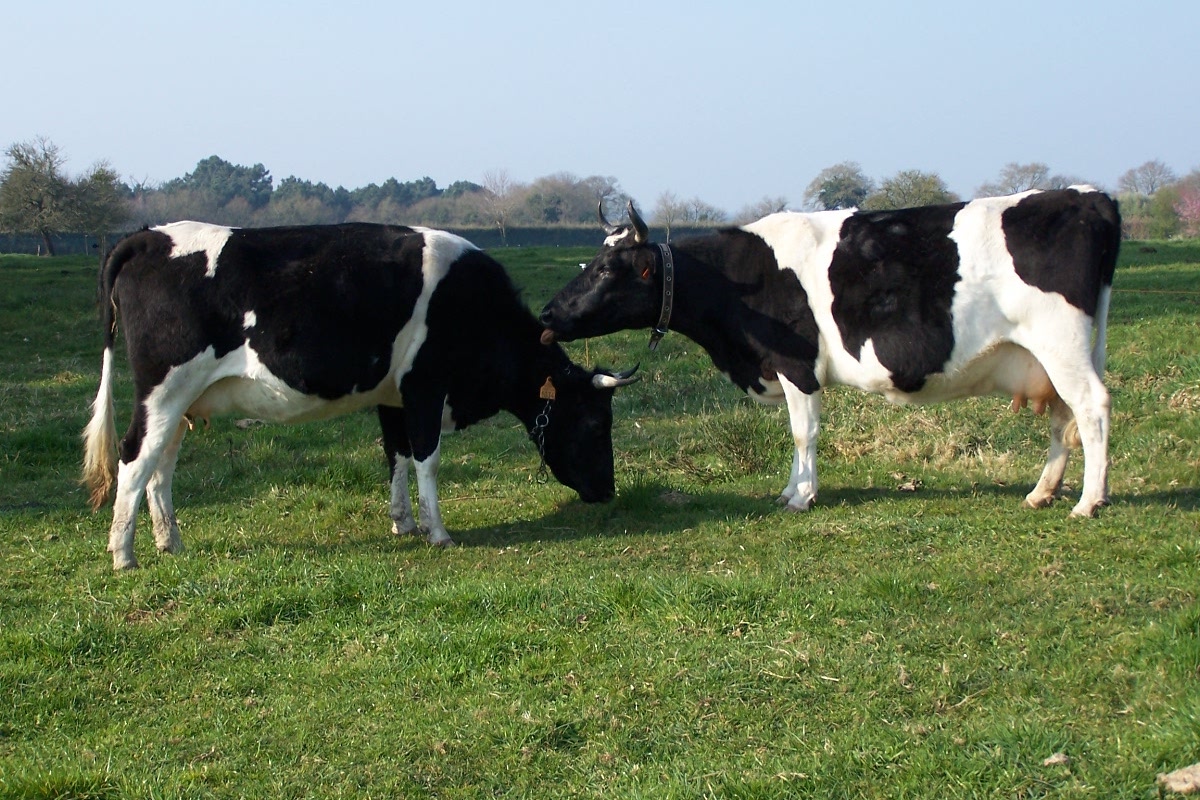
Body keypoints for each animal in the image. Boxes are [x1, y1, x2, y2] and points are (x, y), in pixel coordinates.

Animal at [82, 221, 638, 570]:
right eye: (596, 423)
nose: (609, 491)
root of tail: (147, 237)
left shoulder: (392, 396)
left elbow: (396, 455)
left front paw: (404, 523)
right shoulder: (424, 385)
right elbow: (427, 458)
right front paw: (439, 532)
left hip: (182, 401)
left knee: (161, 466)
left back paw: (170, 542)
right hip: (163, 389)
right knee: (135, 457)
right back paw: (123, 555)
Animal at [539, 187, 1121, 519]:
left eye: (608, 270)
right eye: (590, 261)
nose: (546, 314)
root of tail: (1091, 196)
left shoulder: (797, 366)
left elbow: (804, 432)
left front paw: (802, 496)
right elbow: (797, 435)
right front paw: (790, 491)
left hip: (1061, 340)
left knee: (1092, 407)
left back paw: (1088, 501)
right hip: (1053, 355)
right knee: (1065, 417)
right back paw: (1043, 492)